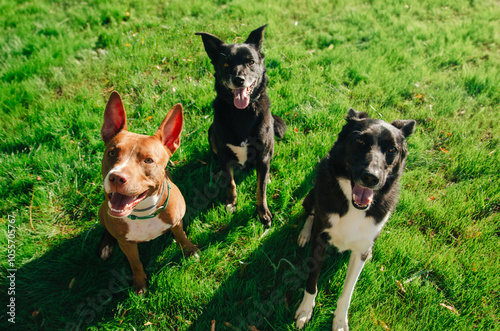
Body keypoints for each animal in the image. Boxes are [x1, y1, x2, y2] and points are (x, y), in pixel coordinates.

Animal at [96, 92, 198, 294]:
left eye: (148, 160)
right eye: (112, 153)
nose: (116, 177)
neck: (143, 211)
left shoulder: (176, 222)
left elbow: (182, 237)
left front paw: (190, 251)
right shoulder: (126, 244)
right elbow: (135, 263)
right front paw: (140, 284)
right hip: (102, 211)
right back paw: (106, 246)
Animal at [196, 25, 288, 228]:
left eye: (251, 62)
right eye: (226, 64)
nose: (239, 79)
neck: (242, 112)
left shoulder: (262, 154)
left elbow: (261, 189)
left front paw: (263, 212)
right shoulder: (223, 153)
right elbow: (230, 181)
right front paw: (231, 202)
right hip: (211, 133)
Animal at [294, 109, 416, 331]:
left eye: (392, 149)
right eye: (360, 141)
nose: (371, 178)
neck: (353, 206)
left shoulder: (360, 251)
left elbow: (348, 293)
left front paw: (340, 321)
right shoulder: (321, 239)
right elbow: (312, 280)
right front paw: (305, 310)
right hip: (311, 195)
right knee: (311, 214)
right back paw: (305, 233)